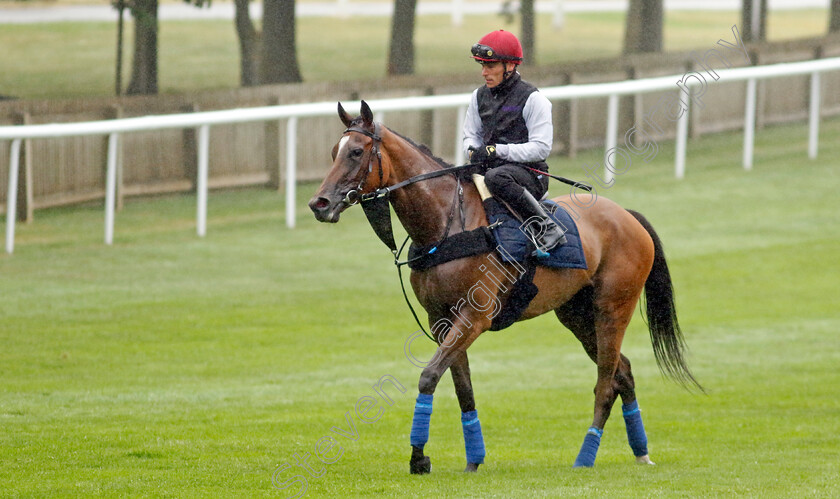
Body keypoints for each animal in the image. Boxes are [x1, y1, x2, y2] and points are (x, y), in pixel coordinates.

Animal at [308, 99, 704, 474]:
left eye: (356, 152)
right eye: (334, 151)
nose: (319, 203)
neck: (447, 226)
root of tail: (628, 216)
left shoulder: (474, 317)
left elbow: (428, 376)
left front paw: (419, 458)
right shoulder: (442, 321)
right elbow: (462, 388)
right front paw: (472, 459)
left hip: (612, 311)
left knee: (606, 382)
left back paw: (586, 456)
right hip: (576, 316)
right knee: (624, 372)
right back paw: (641, 452)